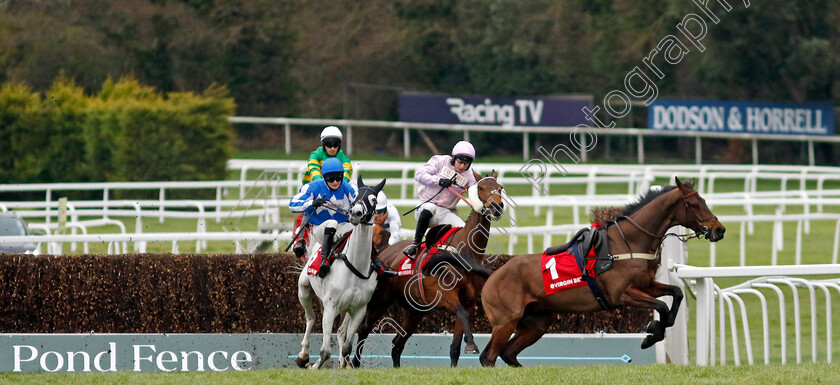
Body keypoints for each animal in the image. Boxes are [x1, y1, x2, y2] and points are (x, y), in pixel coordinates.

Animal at [296, 176, 388, 368]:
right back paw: (303, 356)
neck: (355, 266)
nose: (355, 213)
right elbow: (325, 350)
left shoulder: (359, 309)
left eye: (373, 200)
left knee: (340, 331)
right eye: (355, 197)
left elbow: (346, 347)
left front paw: (344, 365)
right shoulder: (331, 306)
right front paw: (314, 366)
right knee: (311, 318)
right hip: (304, 290)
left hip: (347, 308)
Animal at [352, 171, 506, 366]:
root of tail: (384, 250)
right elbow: (462, 314)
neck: (464, 251)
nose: (497, 207)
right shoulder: (446, 295)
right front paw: (471, 344)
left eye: (500, 188)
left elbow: (455, 344)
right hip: (380, 301)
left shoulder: (469, 301)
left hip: (415, 310)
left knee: (397, 344)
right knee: (364, 329)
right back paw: (354, 363)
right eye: (480, 188)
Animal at [480, 177, 728, 366]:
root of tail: (492, 276)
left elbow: (676, 293)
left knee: (507, 354)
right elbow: (661, 306)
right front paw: (651, 334)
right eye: (694, 204)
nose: (720, 229)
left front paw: (658, 328)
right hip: (505, 322)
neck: (627, 244)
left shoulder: (646, 285)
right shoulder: (622, 295)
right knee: (489, 356)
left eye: (703, 201)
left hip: (536, 323)